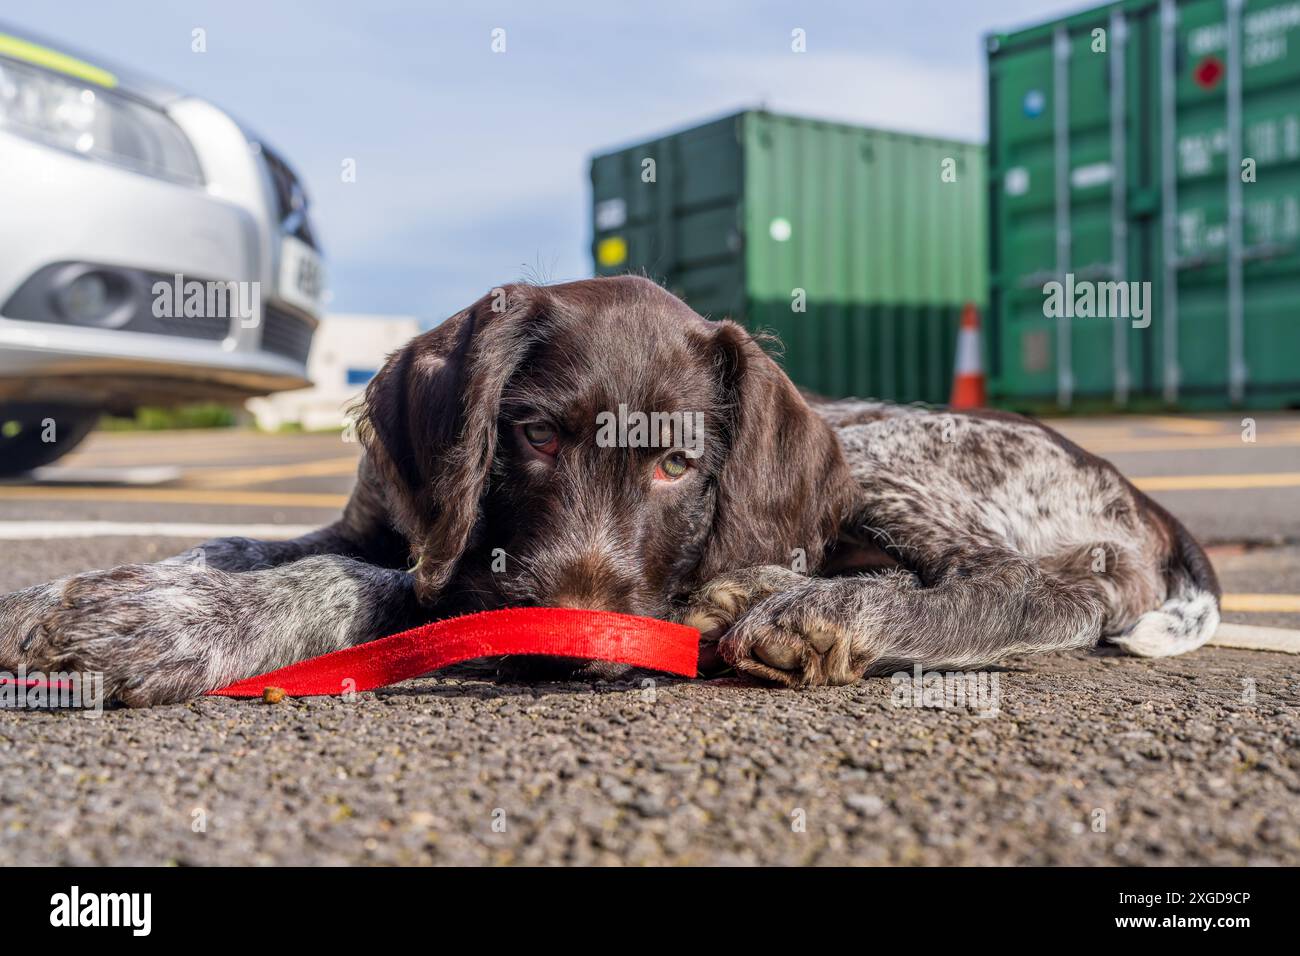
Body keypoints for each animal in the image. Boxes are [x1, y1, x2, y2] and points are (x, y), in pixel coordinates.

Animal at [0, 273, 1216, 707]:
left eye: (679, 463)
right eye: (531, 434)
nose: (576, 647)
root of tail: (1145, 500)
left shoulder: (444, 578)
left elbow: (355, 583)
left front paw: (176, 627)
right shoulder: (397, 519)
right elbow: (246, 544)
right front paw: (68, 597)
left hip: (882, 448)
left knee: (1063, 584)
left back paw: (835, 611)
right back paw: (747, 595)